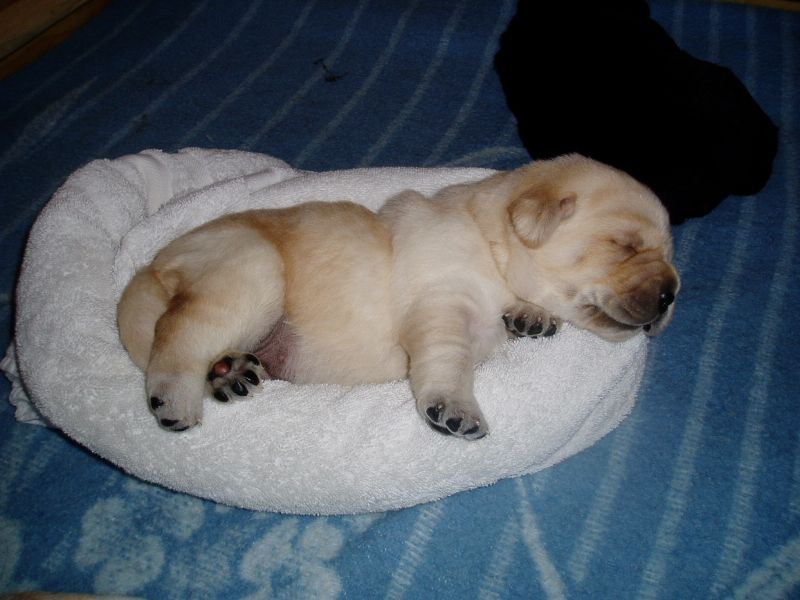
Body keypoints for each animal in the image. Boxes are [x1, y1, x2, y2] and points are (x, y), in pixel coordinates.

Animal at [117, 152, 680, 438]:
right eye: (624, 245)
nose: (671, 294)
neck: (490, 243)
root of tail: (152, 266)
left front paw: (531, 316)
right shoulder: (442, 301)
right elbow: (448, 358)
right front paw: (454, 408)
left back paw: (229, 372)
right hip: (249, 270)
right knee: (177, 335)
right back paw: (175, 397)